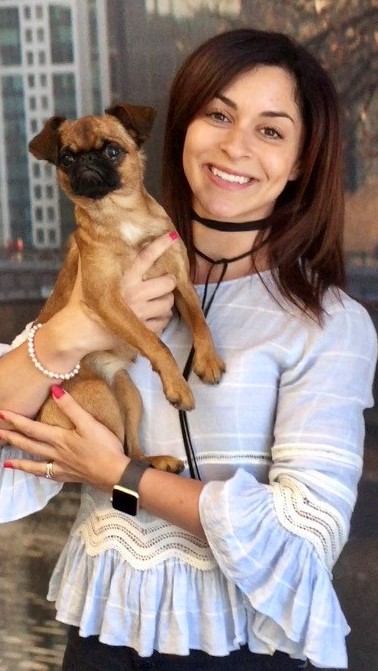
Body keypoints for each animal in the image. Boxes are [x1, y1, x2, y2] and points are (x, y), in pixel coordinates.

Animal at [28, 103, 224, 472]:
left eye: (112, 151)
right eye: (66, 159)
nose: (87, 161)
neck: (121, 216)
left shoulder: (180, 282)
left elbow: (200, 321)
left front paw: (208, 359)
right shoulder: (108, 300)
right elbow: (155, 343)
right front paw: (178, 385)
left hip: (127, 393)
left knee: (131, 451)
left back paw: (158, 461)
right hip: (100, 397)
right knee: (112, 454)